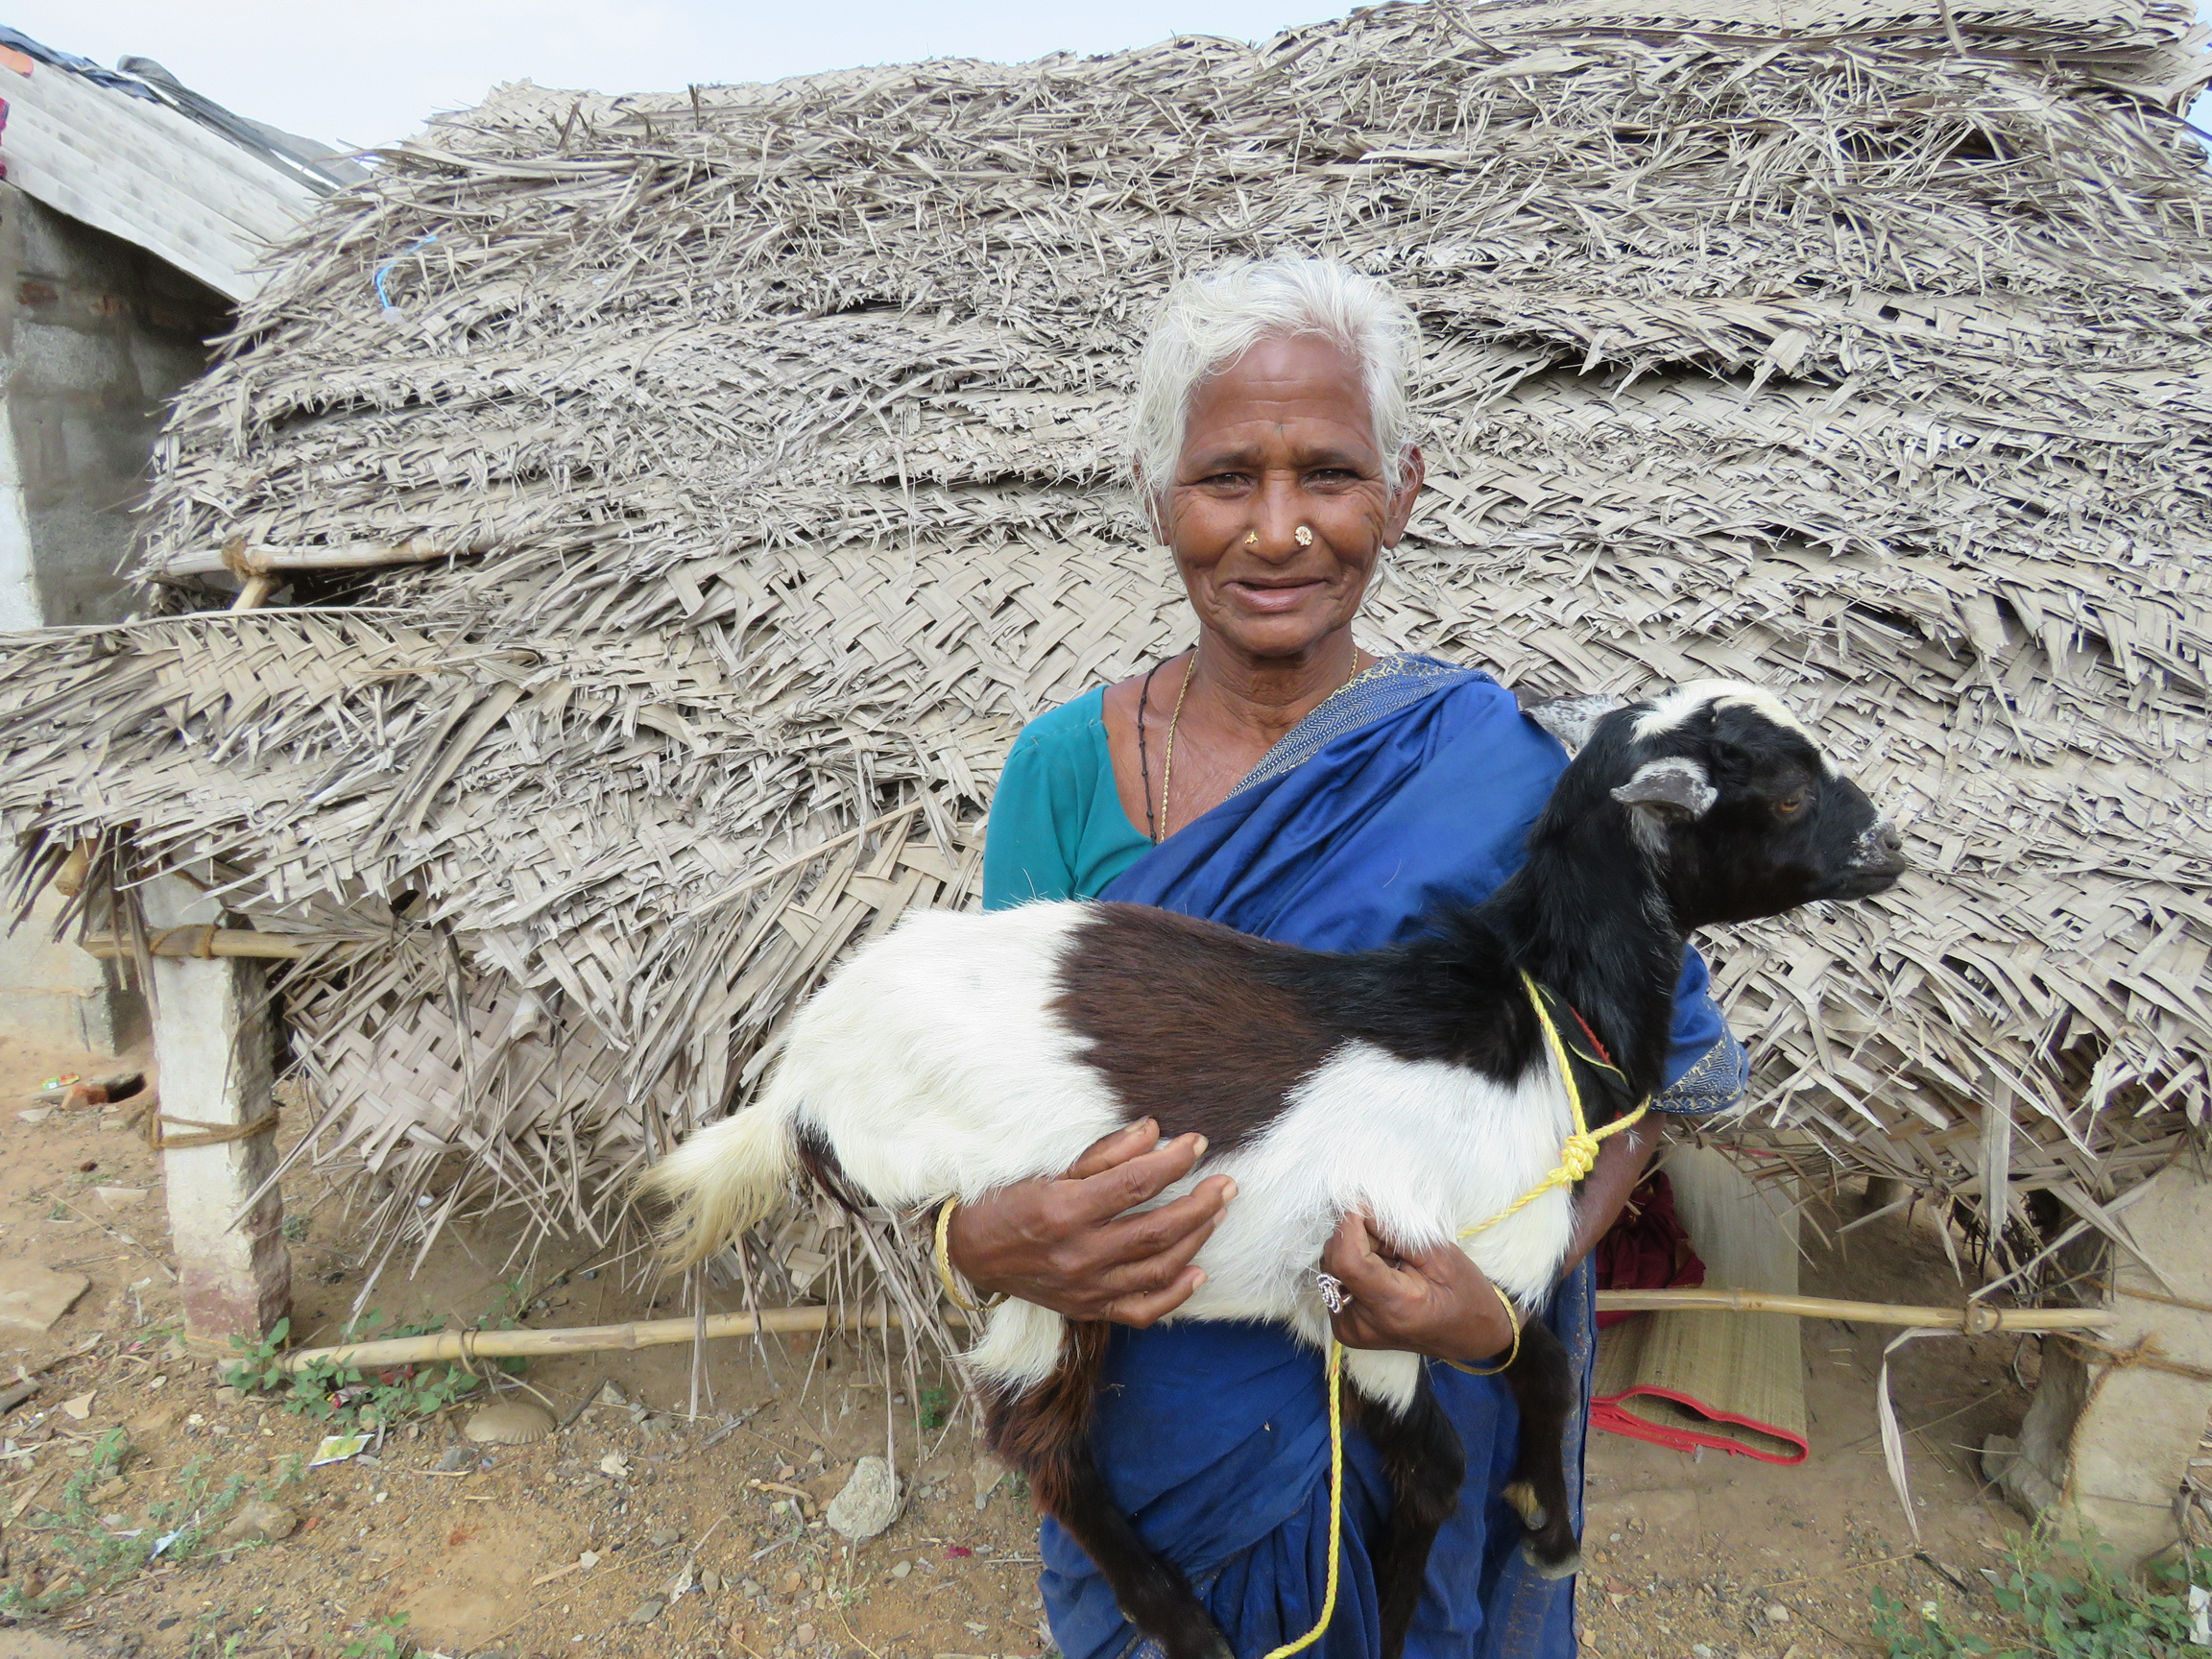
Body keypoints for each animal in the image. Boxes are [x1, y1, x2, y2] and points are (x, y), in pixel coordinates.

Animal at [641, 679, 1909, 1659]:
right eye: (1787, 793)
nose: (1892, 849)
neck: (1528, 1010)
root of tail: (803, 1077)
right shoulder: (1381, 1284)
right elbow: (1462, 1450)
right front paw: (1475, 1575)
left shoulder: (1412, 1288)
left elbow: (1513, 1388)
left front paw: (1527, 1529)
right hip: (1050, 1247)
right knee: (1038, 1441)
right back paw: (1189, 1625)